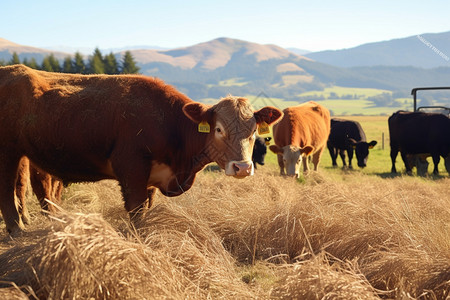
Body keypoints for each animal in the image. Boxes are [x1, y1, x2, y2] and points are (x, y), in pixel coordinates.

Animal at [0, 65, 282, 234]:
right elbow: (136, 210)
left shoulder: (150, 178)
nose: (242, 167)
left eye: (254, 130)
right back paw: (16, 231)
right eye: (219, 129)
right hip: (7, 153)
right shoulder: (131, 167)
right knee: (8, 191)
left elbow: (146, 207)